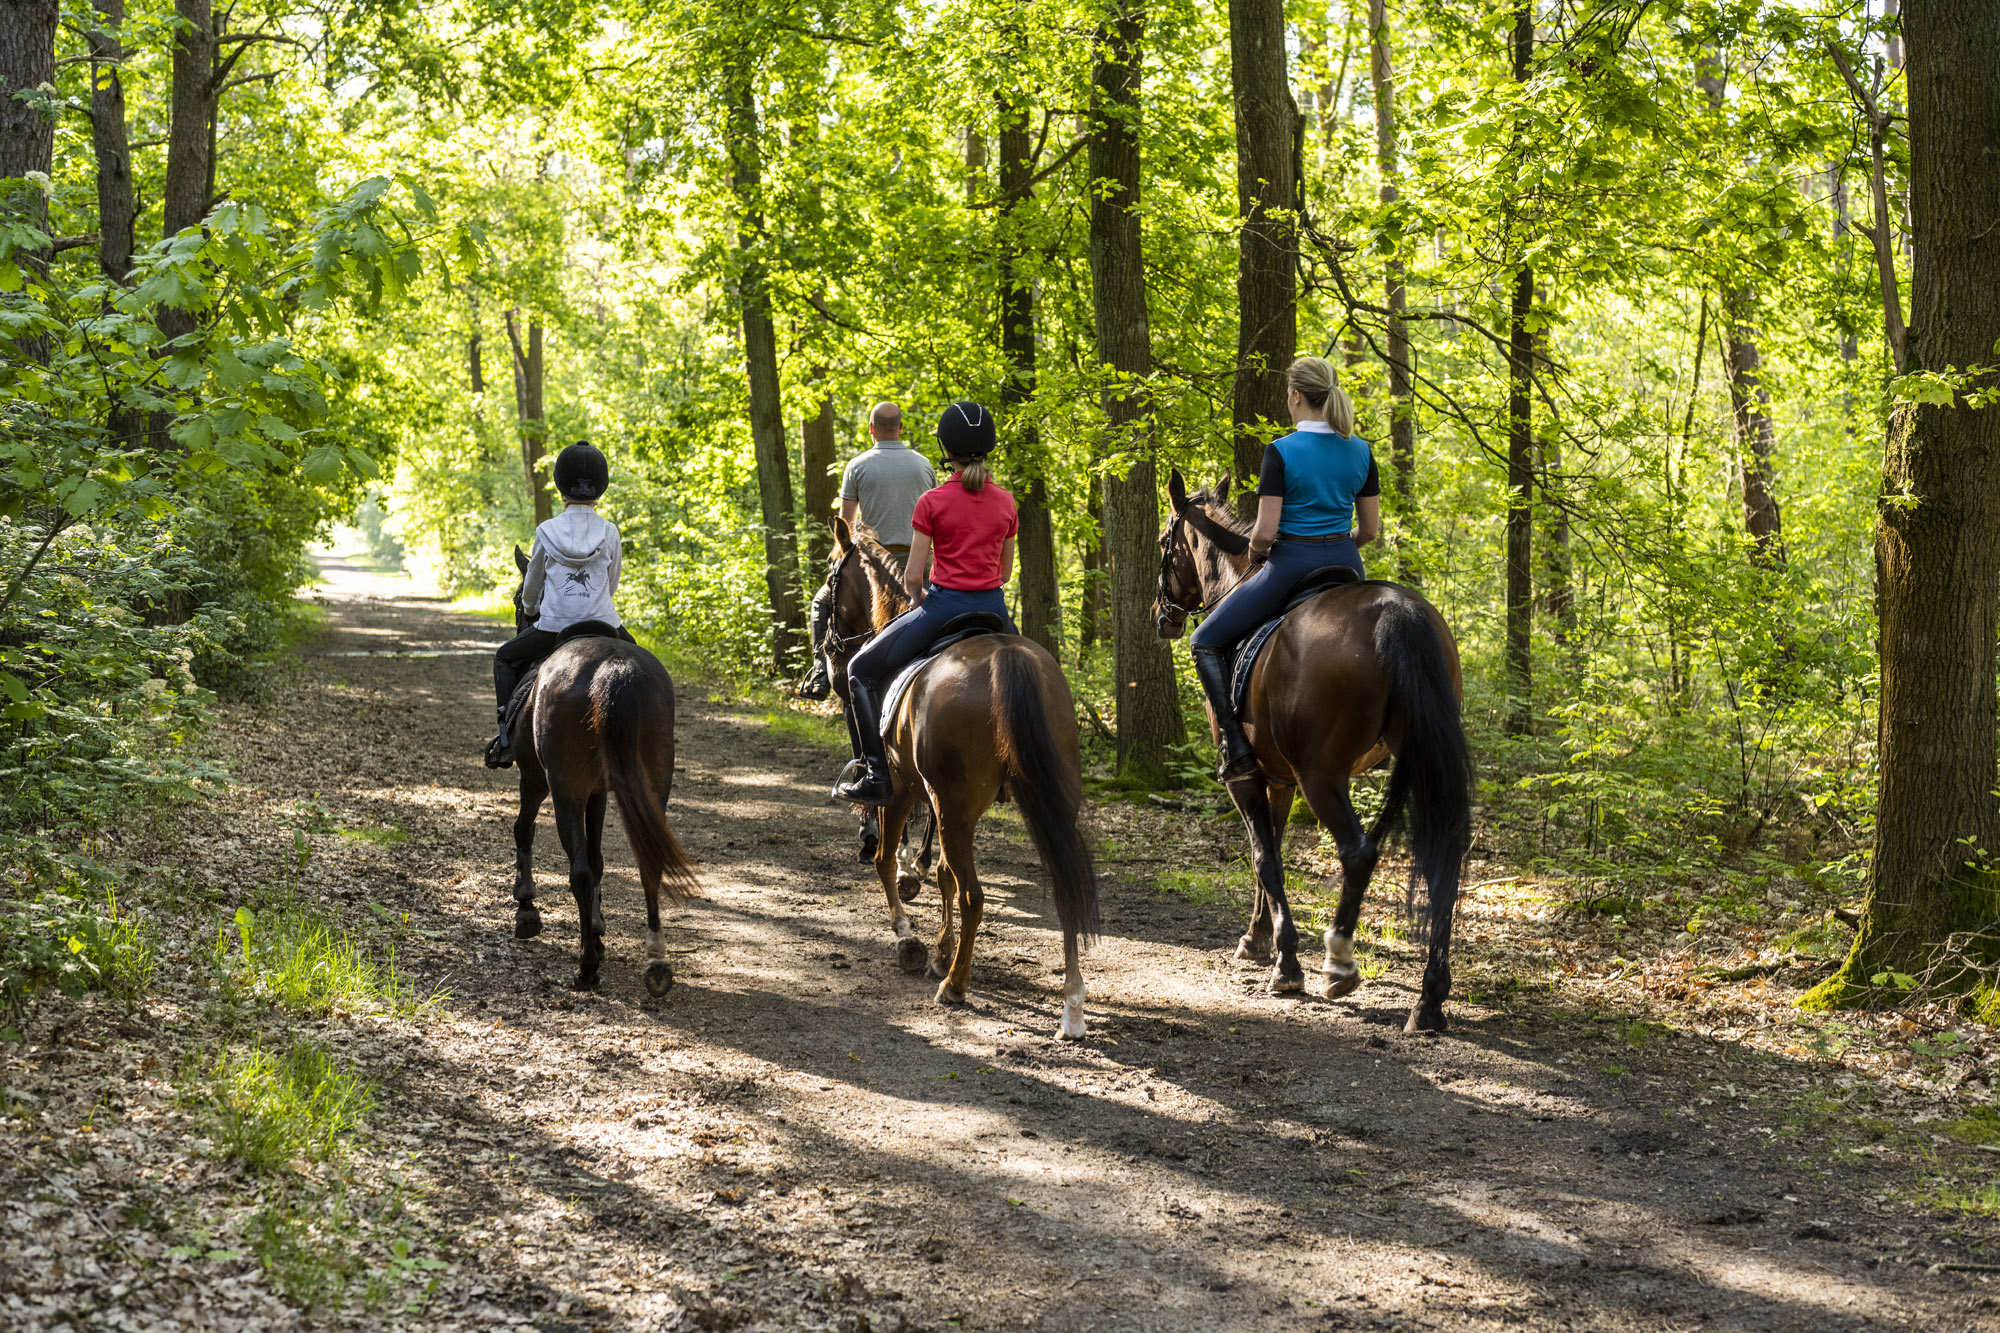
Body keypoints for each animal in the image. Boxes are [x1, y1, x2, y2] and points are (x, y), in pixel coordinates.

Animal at [504, 544, 700, 992]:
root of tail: (612, 668)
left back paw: (586, 968)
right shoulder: (597, 792)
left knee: (577, 870)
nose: (523, 614)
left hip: (564, 788)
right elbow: (598, 861)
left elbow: (526, 831)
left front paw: (527, 907)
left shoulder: (536, 779)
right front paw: (596, 929)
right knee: (646, 861)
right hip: (651, 785)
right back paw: (656, 963)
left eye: (518, 598)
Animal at [828, 520, 1112, 1040]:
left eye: (829, 587)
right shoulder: (944, 806)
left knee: (974, 895)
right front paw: (940, 952)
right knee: (1063, 892)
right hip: (1038, 802)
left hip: (949, 806)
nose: (834, 665)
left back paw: (956, 987)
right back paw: (1072, 1007)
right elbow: (941, 874)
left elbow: (887, 862)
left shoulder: (902, 791)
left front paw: (908, 938)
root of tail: (1004, 660)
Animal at [1160, 472, 1472, 1032]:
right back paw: (1429, 999)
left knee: (1359, 852)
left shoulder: (1247, 777)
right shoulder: (1279, 777)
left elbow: (1264, 856)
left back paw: (1339, 963)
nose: (1161, 617)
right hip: (1413, 756)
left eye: (1162, 544)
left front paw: (1285, 964)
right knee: (1444, 855)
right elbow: (1273, 850)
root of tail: (1398, 612)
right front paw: (1256, 939)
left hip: (1322, 776)